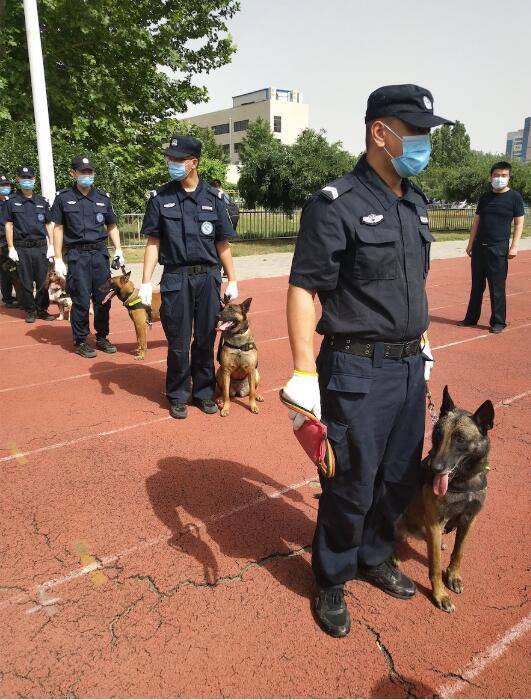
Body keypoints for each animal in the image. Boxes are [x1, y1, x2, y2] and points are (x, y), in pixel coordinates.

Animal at [396, 388, 496, 612]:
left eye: (460, 439)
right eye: (438, 435)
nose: (434, 468)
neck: (464, 481)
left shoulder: (469, 520)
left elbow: (459, 552)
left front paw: (453, 576)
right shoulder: (434, 523)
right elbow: (434, 566)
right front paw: (440, 594)